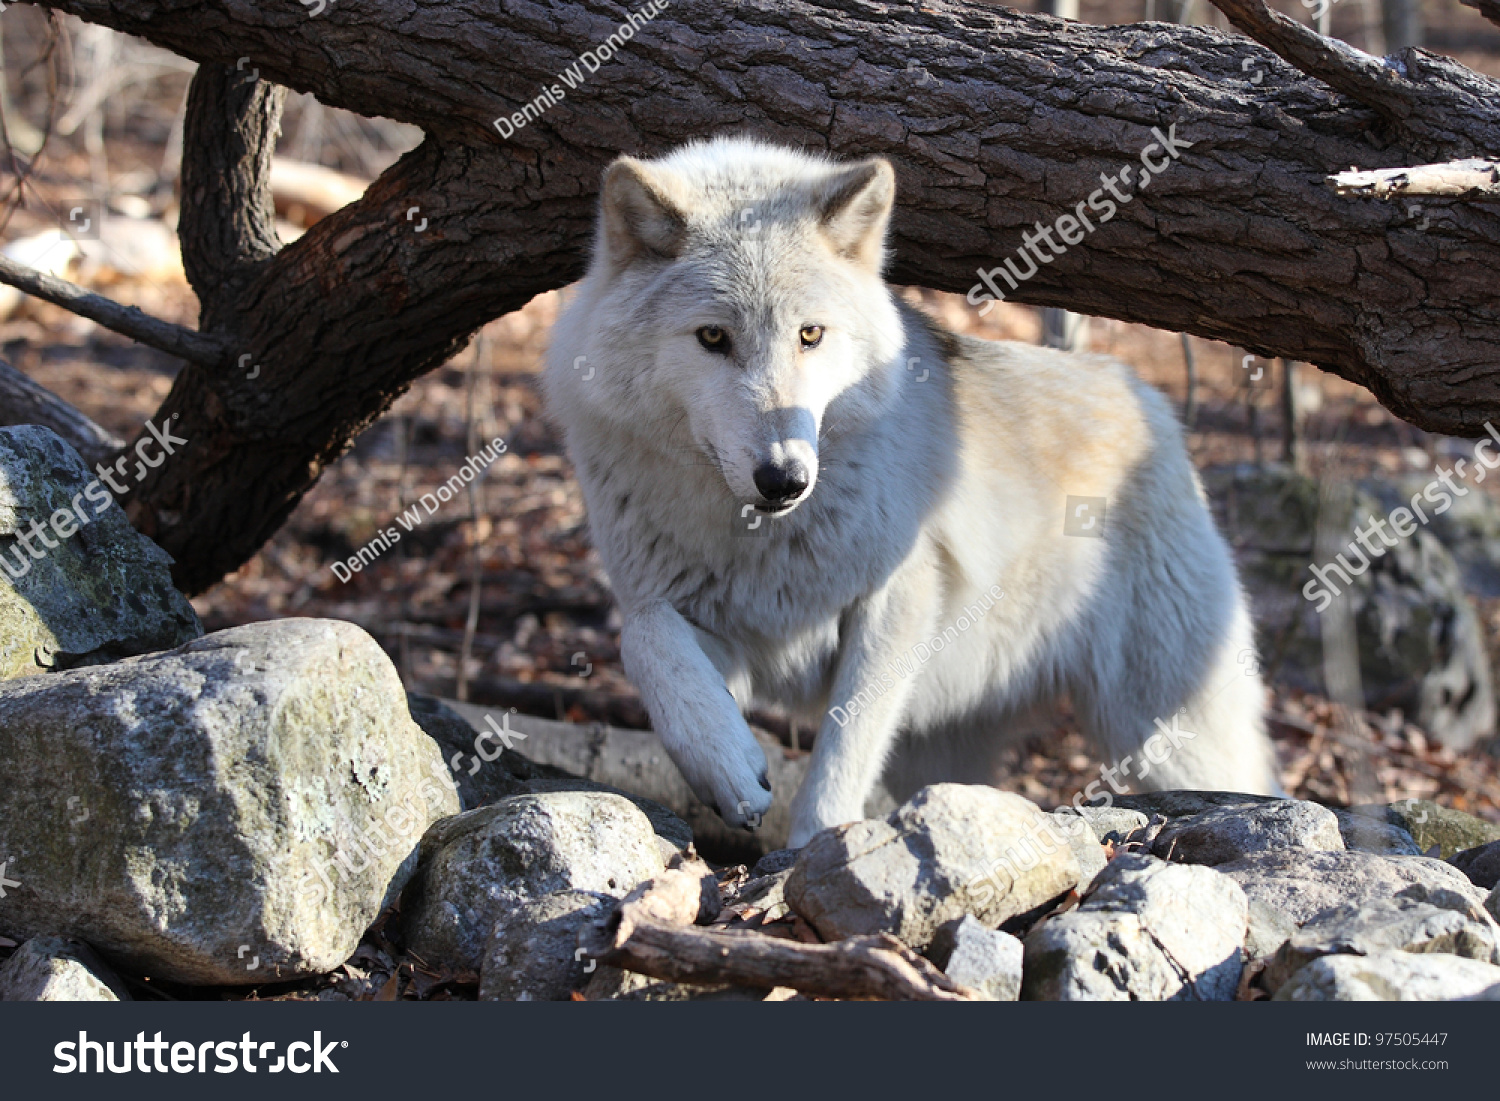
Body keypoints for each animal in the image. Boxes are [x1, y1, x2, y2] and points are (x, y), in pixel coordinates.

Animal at [546, 135, 1284, 846]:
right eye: (712, 337)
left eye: (810, 334)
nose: (785, 478)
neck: (759, 535)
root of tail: (1133, 386)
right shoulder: (709, 623)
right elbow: (645, 642)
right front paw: (728, 769)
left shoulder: (892, 604)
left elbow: (841, 755)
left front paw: (813, 851)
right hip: (944, 749)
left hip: (1164, 734)